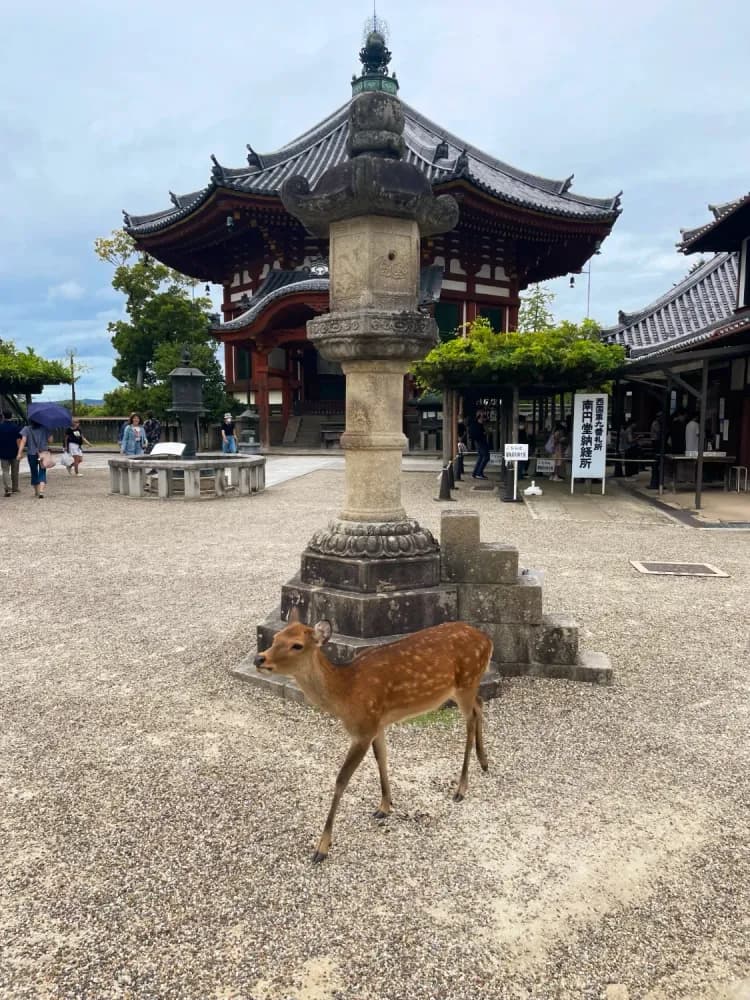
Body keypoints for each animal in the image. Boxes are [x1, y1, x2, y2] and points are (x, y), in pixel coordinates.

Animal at [256, 604, 496, 864]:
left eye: (297, 645)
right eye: (276, 638)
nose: (259, 658)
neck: (346, 693)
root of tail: (488, 640)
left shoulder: (363, 729)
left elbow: (341, 780)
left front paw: (322, 848)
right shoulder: (377, 724)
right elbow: (382, 758)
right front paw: (384, 806)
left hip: (466, 681)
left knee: (470, 720)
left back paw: (460, 789)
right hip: (468, 686)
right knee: (480, 705)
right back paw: (484, 762)